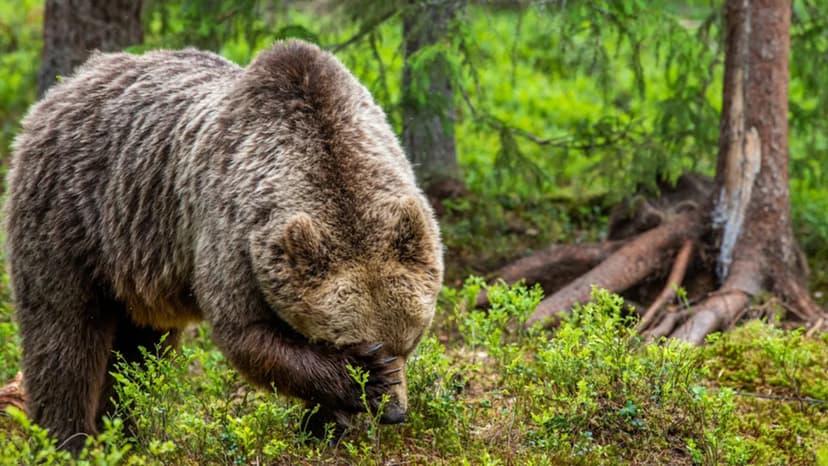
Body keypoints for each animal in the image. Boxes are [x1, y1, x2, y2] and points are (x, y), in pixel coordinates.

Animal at [5, 39, 444, 452]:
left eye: (410, 342)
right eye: (352, 345)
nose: (394, 412)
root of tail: (63, 87)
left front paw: (322, 426)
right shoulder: (234, 234)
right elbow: (247, 334)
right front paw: (358, 388)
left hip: (136, 263)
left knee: (140, 351)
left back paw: (126, 433)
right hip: (70, 217)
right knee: (64, 335)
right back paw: (68, 440)